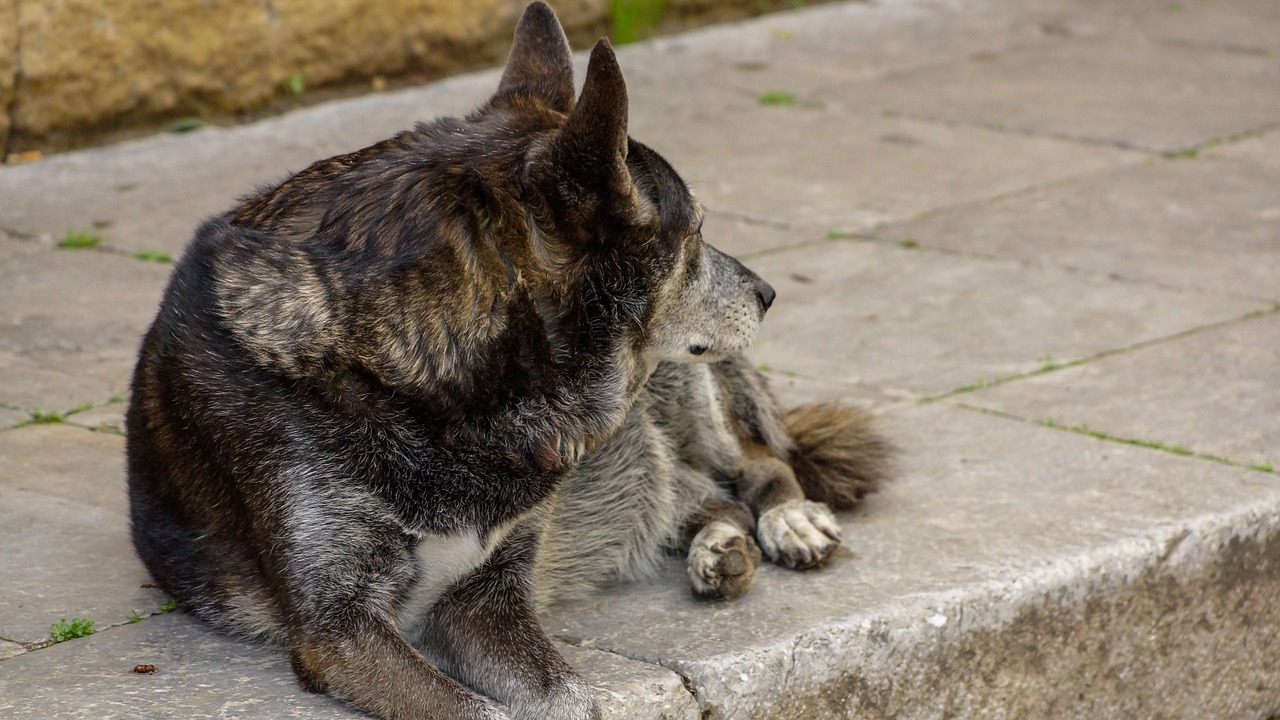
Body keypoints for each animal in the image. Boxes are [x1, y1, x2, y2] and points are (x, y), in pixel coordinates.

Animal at [127, 2, 890, 712]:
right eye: (697, 231)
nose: (768, 292)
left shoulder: (487, 599)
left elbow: (570, 697)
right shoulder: (342, 630)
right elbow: (471, 707)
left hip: (684, 386)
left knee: (757, 465)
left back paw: (787, 520)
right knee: (700, 494)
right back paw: (721, 546)